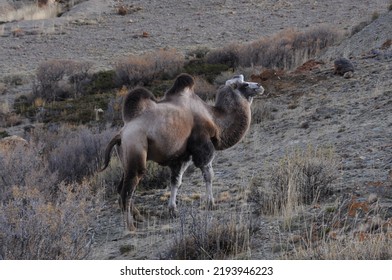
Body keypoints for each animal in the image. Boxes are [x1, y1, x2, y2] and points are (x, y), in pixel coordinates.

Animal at [101, 73, 264, 231]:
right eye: (245, 84)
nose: (259, 86)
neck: (214, 120)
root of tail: (120, 135)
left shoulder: (182, 156)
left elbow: (176, 181)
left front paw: (173, 210)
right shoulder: (202, 146)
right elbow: (209, 175)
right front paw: (211, 203)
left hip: (126, 159)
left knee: (121, 186)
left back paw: (139, 217)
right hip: (135, 148)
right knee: (128, 190)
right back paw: (130, 225)